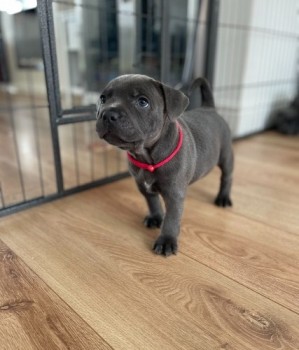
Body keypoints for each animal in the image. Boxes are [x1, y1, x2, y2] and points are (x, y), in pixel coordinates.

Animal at [96, 74, 234, 256]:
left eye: (142, 102)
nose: (107, 114)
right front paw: (155, 217)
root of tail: (209, 109)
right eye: (103, 99)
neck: (146, 156)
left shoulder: (174, 195)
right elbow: (153, 202)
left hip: (226, 156)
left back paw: (223, 197)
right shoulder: (144, 186)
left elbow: (172, 219)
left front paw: (167, 240)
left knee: (227, 177)